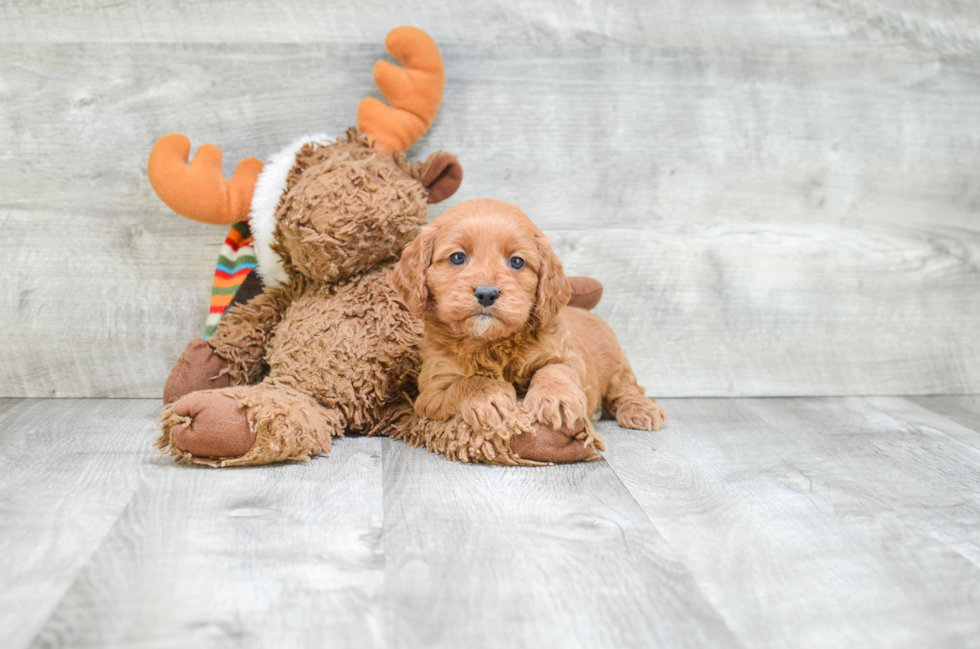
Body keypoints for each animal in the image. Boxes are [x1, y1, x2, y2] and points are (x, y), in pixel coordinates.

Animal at [392, 197, 668, 446]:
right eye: (458, 258)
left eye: (517, 262)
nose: (487, 293)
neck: (491, 343)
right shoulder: (430, 392)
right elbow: (468, 382)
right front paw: (489, 396)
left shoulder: (568, 357)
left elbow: (554, 370)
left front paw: (556, 399)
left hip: (617, 365)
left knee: (628, 389)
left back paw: (641, 410)